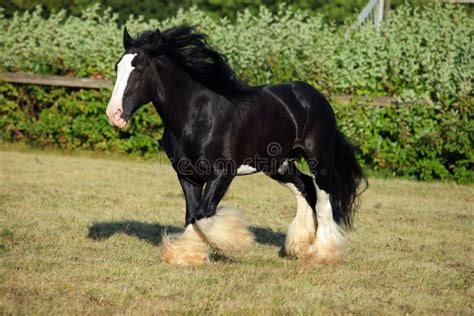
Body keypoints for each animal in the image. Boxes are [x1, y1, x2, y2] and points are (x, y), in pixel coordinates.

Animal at [107, 26, 366, 264]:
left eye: (139, 69)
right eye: (118, 67)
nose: (114, 114)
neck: (196, 116)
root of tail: (315, 96)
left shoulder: (222, 173)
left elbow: (203, 214)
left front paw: (237, 240)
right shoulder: (187, 175)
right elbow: (192, 214)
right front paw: (188, 255)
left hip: (319, 158)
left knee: (323, 201)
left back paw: (323, 253)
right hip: (278, 164)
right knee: (304, 187)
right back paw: (299, 247)